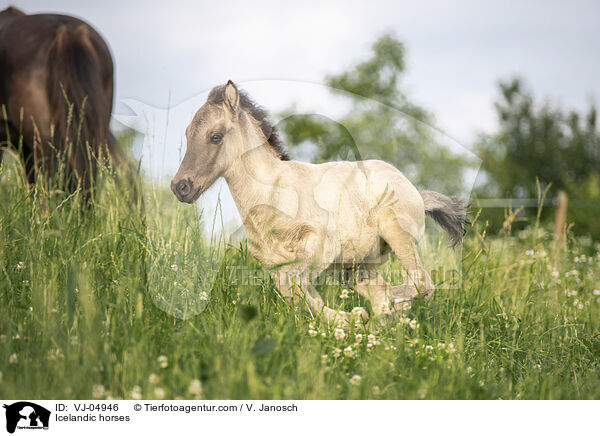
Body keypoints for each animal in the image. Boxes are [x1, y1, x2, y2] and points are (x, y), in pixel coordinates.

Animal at [170, 82, 468, 326]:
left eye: (215, 136)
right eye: (187, 133)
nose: (180, 186)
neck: (272, 194)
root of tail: (416, 192)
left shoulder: (320, 246)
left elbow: (296, 289)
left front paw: (350, 318)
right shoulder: (277, 266)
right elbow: (296, 295)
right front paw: (349, 320)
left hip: (397, 237)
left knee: (421, 285)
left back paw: (383, 311)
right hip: (356, 266)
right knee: (382, 291)